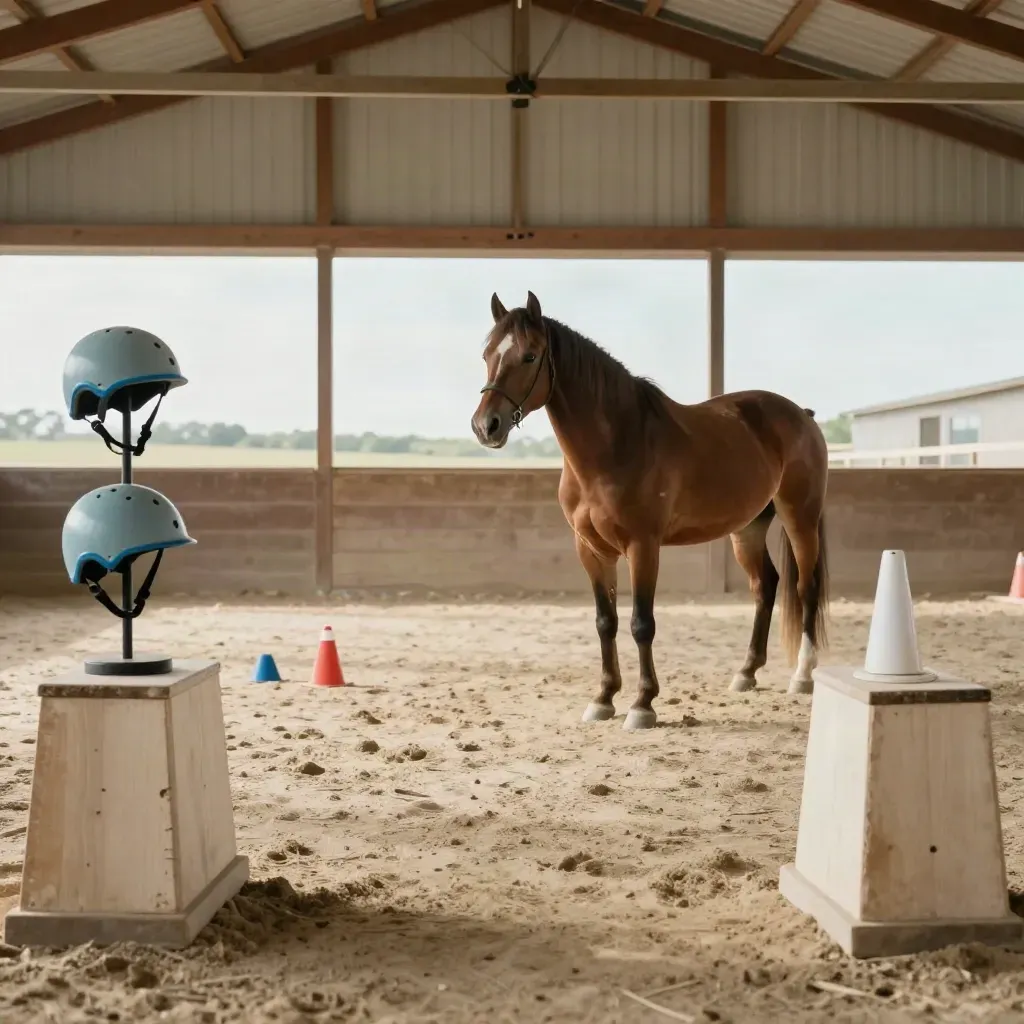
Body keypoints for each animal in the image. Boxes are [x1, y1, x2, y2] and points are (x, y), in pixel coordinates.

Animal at [470, 290, 830, 731]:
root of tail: (802, 415)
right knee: (766, 585)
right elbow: (605, 622)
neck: (617, 445)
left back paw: (802, 676)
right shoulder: (591, 550)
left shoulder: (643, 547)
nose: (486, 425)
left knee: (805, 587)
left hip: (800, 517)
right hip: (746, 529)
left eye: (530, 356)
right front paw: (604, 698)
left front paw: (643, 704)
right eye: (487, 353)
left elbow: (642, 624)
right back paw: (746, 673)